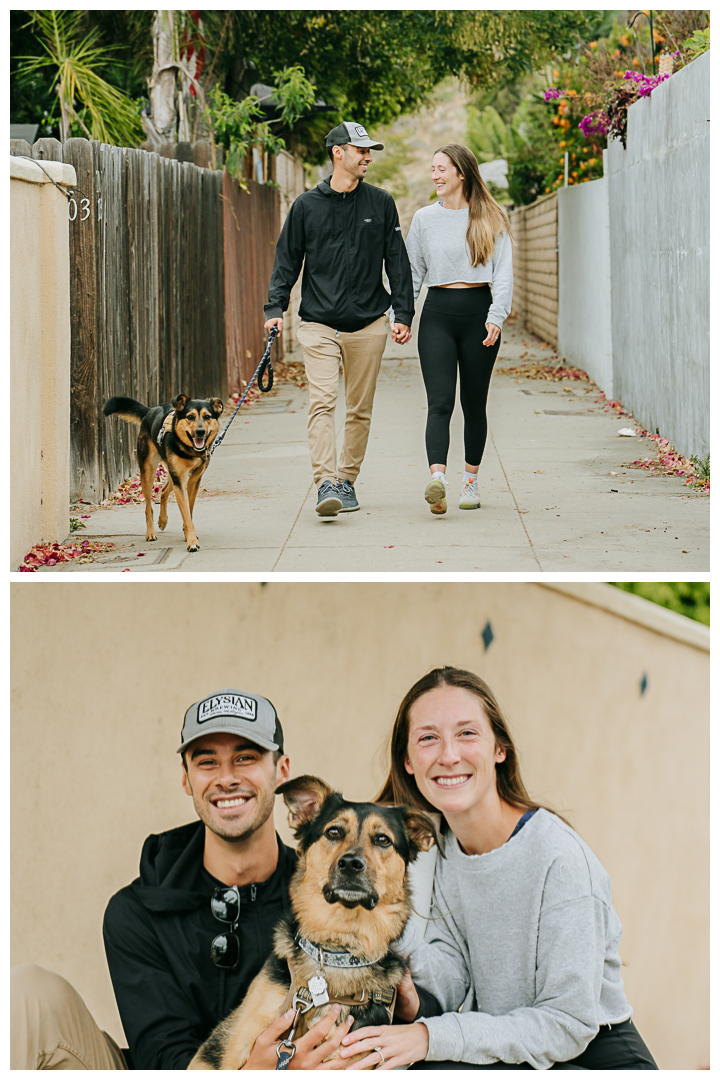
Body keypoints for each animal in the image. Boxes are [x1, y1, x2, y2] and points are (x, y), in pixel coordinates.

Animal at [102, 393, 222, 552]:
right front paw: (192, 541)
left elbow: (188, 511)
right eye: (190, 417)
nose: (200, 432)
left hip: (172, 474)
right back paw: (150, 533)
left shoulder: (193, 480)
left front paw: (188, 533)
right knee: (148, 507)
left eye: (207, 416)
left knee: (164, 491)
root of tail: (150, 411)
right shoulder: (179, 481)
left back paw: (163, 520)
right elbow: (186, 513)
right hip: (148, 473)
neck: (189, 450)